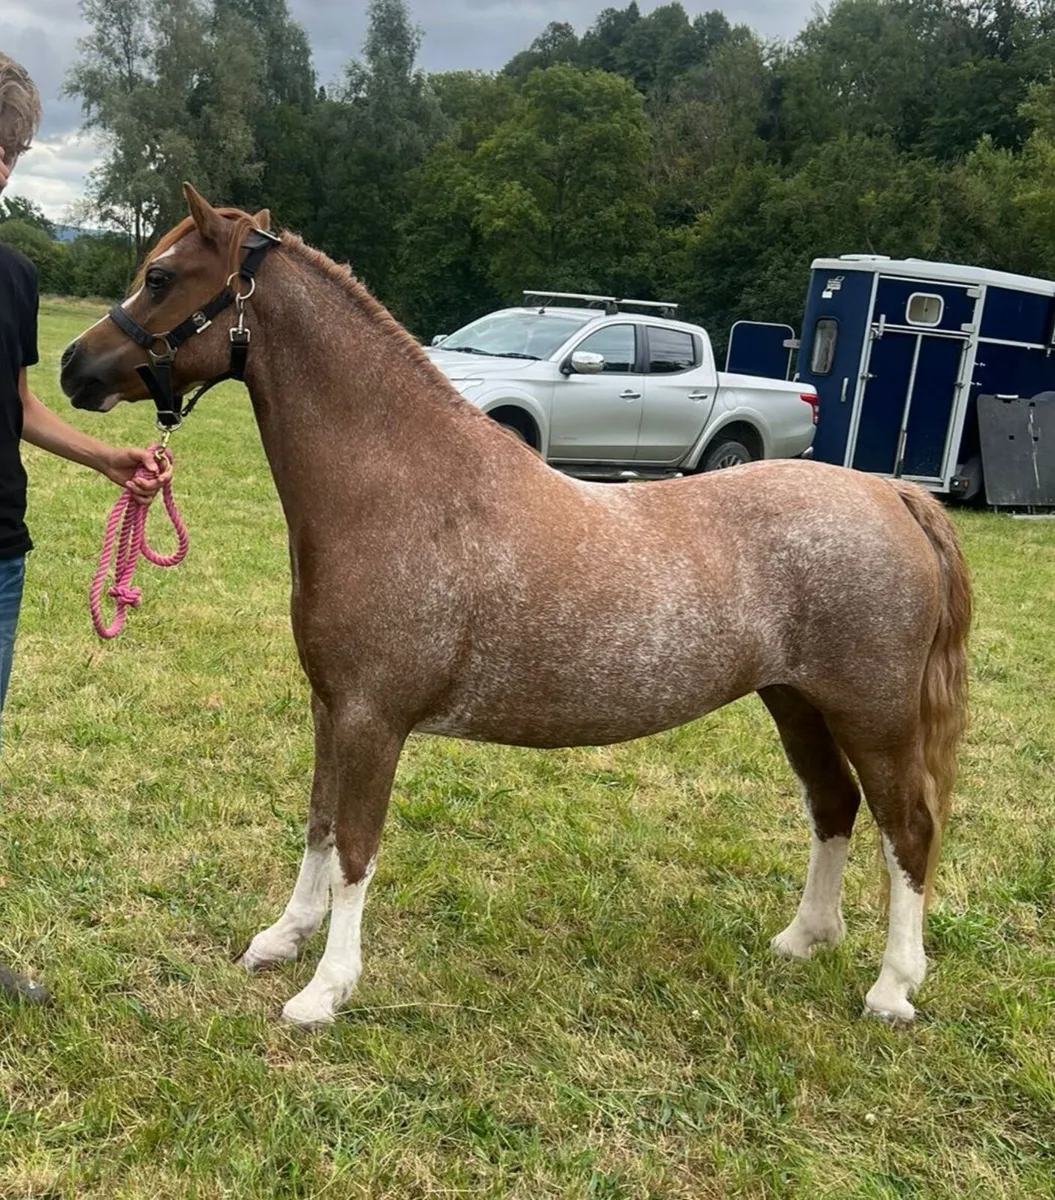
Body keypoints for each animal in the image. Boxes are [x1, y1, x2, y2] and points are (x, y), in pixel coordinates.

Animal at [59, 185, 972, 1029]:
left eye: (161, 277)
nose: (73, 367)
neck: (398, 487)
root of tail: (890, 496)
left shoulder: (372, 719)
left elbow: (356, 847)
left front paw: (325, 989)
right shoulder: (330, 708)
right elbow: (318, 824)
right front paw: (282, 939)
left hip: (872, 715)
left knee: (907, 829)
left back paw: (892, 989)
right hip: (796, 703)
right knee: (833, 808)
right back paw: (801, 939)